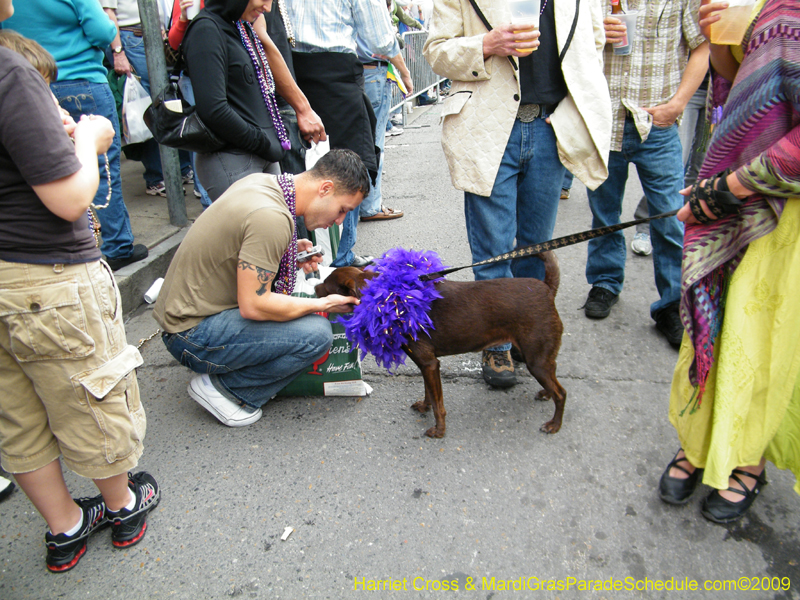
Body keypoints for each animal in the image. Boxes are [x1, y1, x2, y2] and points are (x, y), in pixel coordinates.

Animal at [316, 251, 564, 438]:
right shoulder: (428, 366)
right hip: (539, 358)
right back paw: (545, 393)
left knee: (561, 393)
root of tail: (547, 289)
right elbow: (428, 392)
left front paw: (439, 430)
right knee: (553, 382)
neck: (389, 300)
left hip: (536, 359)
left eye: (327, 286)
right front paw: (424, 407)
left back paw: (554, 424)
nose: (314, 287)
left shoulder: (429, 363)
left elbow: (438, 404)